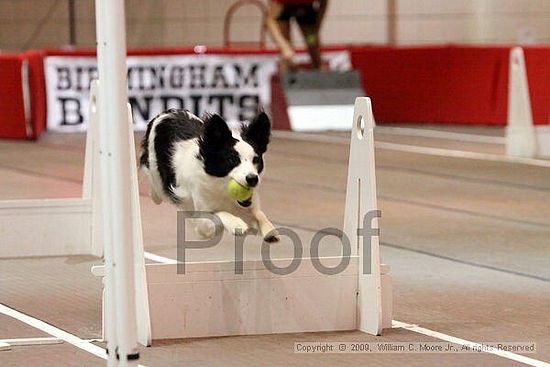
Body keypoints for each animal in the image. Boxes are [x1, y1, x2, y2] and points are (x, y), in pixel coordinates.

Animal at [140, 108, 278, 242]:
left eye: (256, 160)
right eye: (231, 160)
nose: (253, 179)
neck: (222, 188)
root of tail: (167, 113)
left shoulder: (249, 204)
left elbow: (259, 213)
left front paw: (269, 229)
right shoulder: (202, 222)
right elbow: (219, 214)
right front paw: (235, 223)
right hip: (156, 175)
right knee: (157, 192)